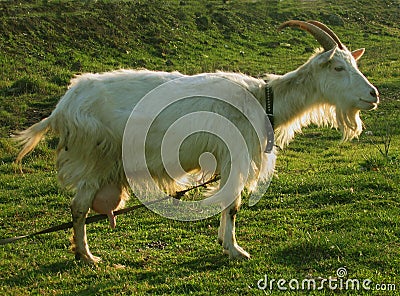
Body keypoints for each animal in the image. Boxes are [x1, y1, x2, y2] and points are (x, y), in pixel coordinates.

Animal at [14, 20, 378, 264]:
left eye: (353, 64)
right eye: (337, 67)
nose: (373, 95)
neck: (263, 99)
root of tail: (63, 106)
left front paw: (225, 243)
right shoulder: (234, 155)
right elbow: (233, 203)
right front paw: (235, 249)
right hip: (94, 158)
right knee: (78, 208)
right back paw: (88, 257)